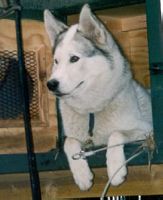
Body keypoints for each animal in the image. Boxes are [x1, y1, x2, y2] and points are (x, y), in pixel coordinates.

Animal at [43, 3, 153, 190]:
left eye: (74, 58)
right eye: (56, 61)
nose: (51, 84)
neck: (91, 110)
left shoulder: (147, 129)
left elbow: (116, 134)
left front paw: (115, 169)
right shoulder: (75, 139)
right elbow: (69, 142)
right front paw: (82, 175)